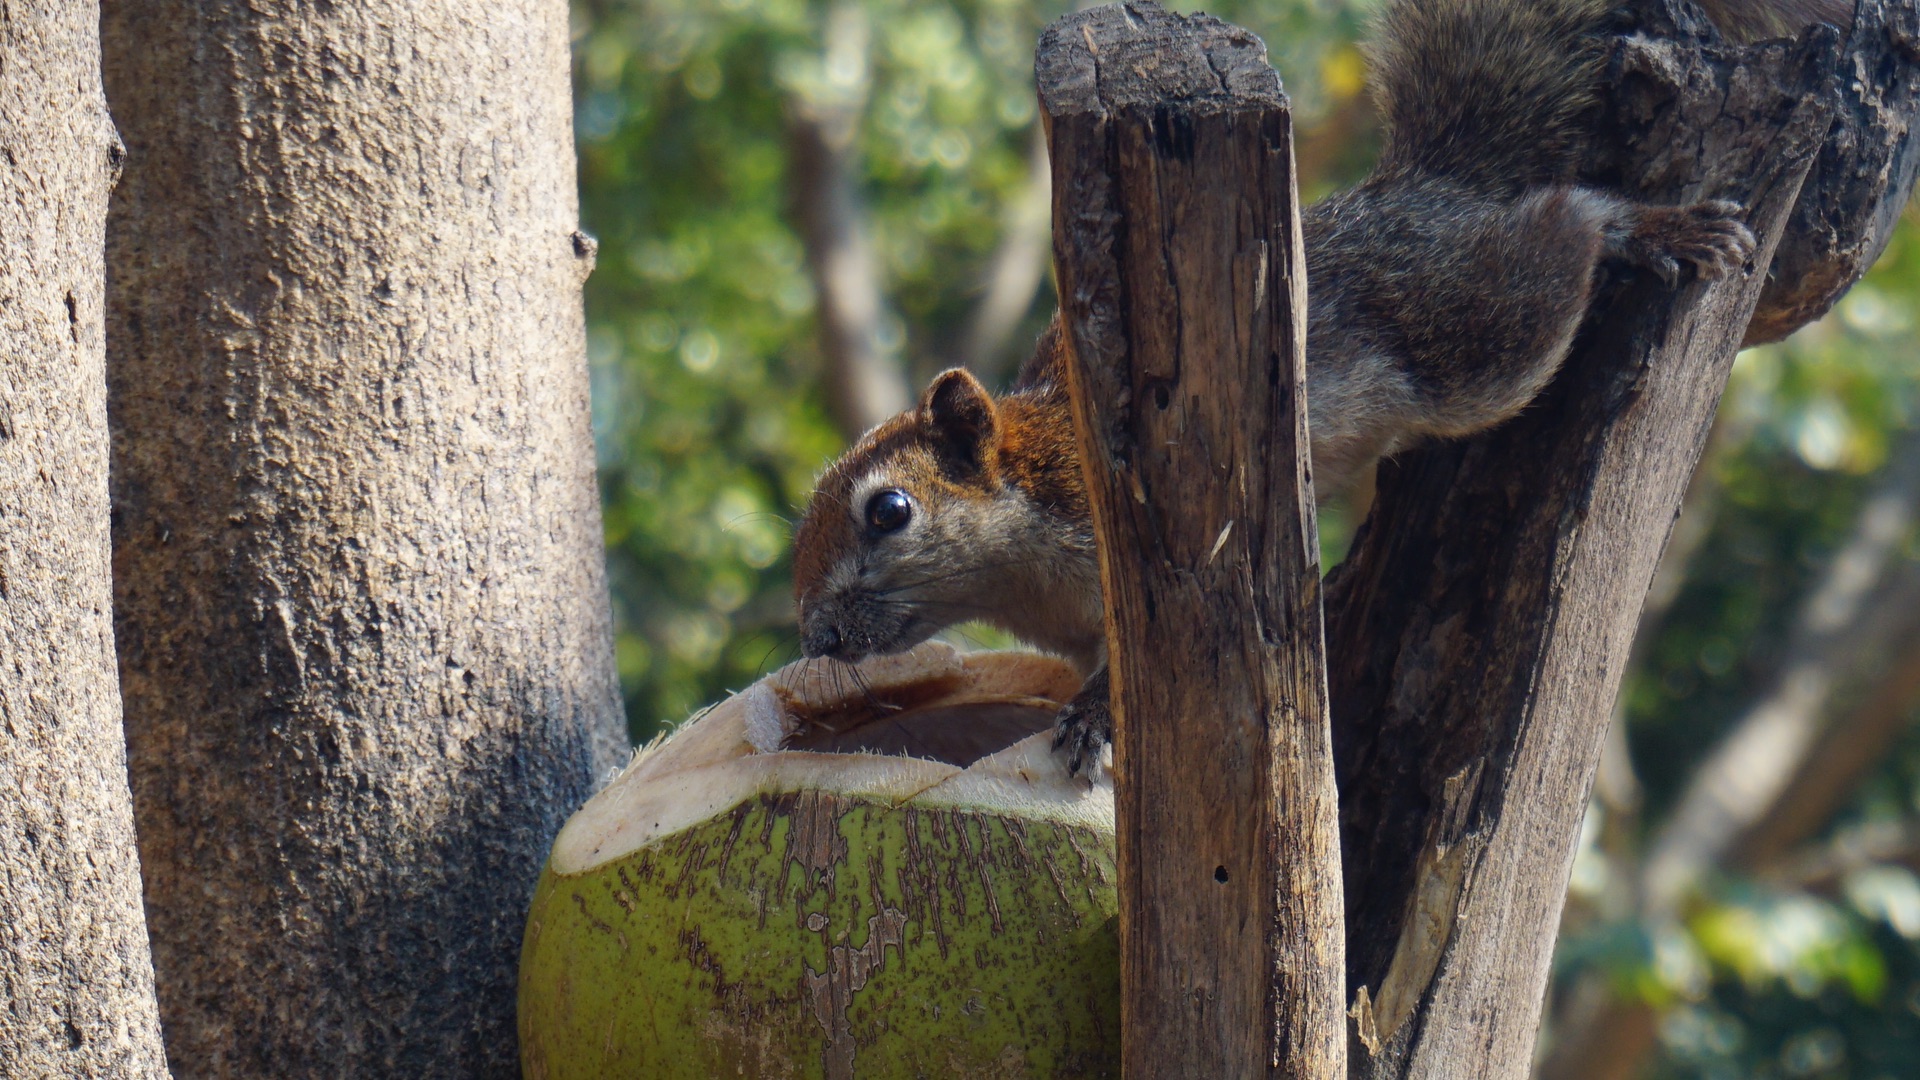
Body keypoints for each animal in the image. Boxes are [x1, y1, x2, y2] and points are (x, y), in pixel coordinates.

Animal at [787, 0, 1850, 772]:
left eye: (889, 511)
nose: (817, 636)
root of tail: (1427, 191)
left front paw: (1092, 722)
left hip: (1469, 333)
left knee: (1561, 229)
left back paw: (1650, 228)